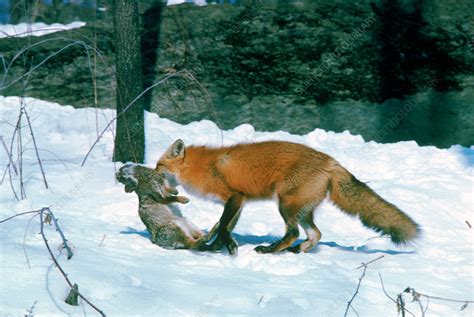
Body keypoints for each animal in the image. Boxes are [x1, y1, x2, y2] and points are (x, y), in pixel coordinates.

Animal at [157, 139, 420, 253]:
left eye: (159, 166)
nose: (150, 171)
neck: (200, 168)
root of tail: (331, 162)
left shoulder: (234, 196)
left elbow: (222, 226)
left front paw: (227, 247)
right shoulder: (240, 202)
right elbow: (225, 228)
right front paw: (215, 249)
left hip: (285, 205)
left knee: (293, 233)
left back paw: (271, 250)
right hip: (301, 209)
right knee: (316, 234)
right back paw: (296, 250)